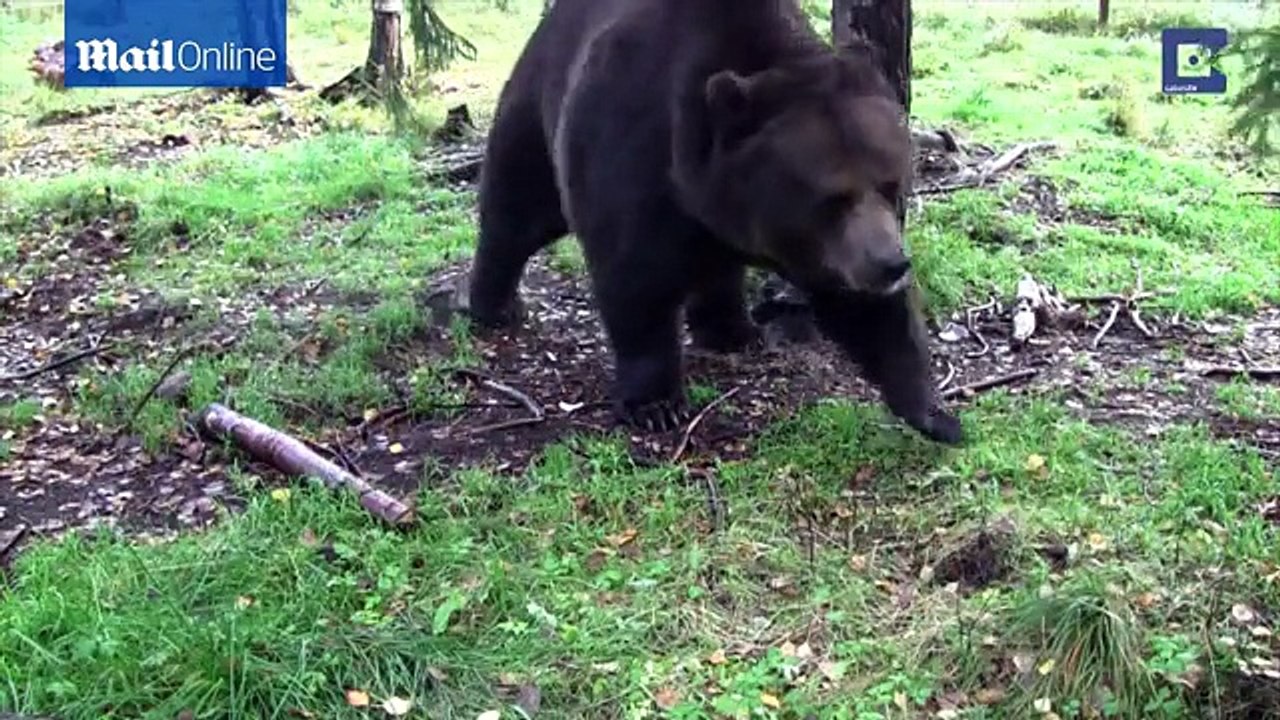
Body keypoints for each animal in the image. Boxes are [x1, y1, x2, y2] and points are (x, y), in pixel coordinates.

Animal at [456, 0, 963, 445]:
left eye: (891, 185)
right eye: (832, 198)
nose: (892, 263)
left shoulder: (827, 247)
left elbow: (869, 311)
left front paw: (936, 414)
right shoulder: (633, 150)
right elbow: (635, 277)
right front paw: (656, 404)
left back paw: (734, 331)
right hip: (539, 101)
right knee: (517, 205)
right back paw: (493, 305)